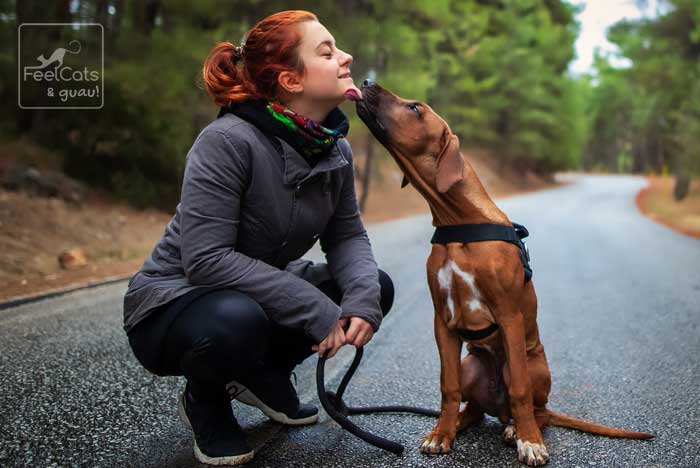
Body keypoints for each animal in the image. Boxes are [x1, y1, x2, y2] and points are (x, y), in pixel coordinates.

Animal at [356, 80, 656, 464]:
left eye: (415, 109)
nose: (366, 82)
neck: (460, 222)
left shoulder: (509, 316)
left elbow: (520, 391)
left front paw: (530, 443)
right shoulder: (442, 321)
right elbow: (448, 386)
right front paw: (441, 434)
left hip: (532, 365)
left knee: (536, 409)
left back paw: (519, 429)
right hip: (471, 364)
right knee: (473, 406)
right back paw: (461, 423)